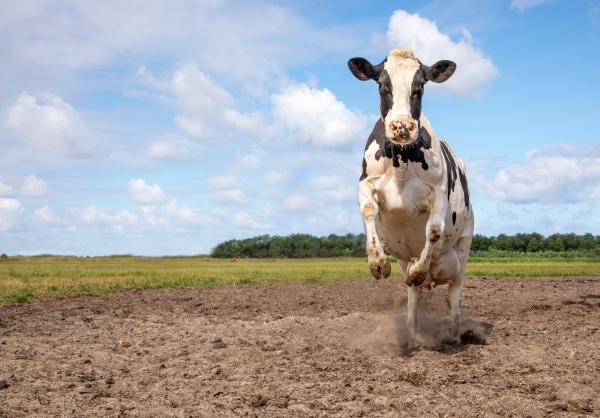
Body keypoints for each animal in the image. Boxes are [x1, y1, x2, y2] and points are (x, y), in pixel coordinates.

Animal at [346, 47, 474, 344]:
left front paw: (419, 270)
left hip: (463, 247)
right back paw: (412, 332)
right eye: (382, 85)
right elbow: (368, 211)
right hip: (406, 259)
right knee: (413, 296)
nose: (402, 127)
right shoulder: (365, 183)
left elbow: (434, 230)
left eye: (420, 86)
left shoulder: (439, 192)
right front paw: (377, 262)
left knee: (454, 294)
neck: (401, 160)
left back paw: (454, 333)